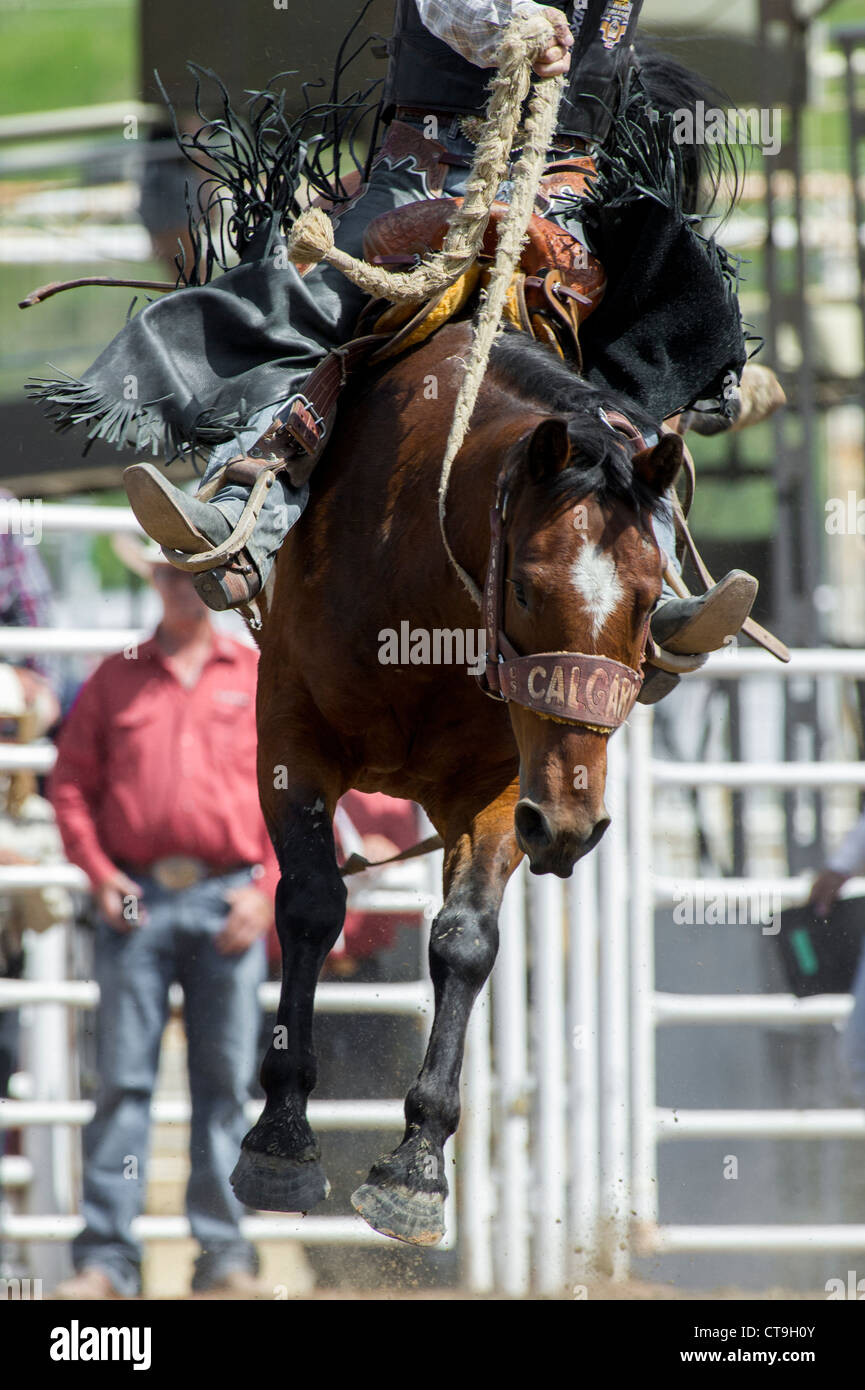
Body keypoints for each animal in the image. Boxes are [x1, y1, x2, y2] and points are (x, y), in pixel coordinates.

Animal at [232, 319, 684, 1245]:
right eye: (524, 588)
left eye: (648, 596)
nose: (575, 826)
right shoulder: (290, 735)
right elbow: (310, 904)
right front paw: (280, 1140)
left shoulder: (507, 788)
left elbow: (465, 939)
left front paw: (416, 1167)